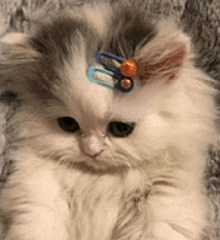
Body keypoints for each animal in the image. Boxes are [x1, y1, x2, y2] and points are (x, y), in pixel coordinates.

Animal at [0, 2, 217, 240]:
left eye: (120, 128)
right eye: (68, 124)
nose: (92, 152)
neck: (100, 181)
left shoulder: (165, 200)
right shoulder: (38, 196)